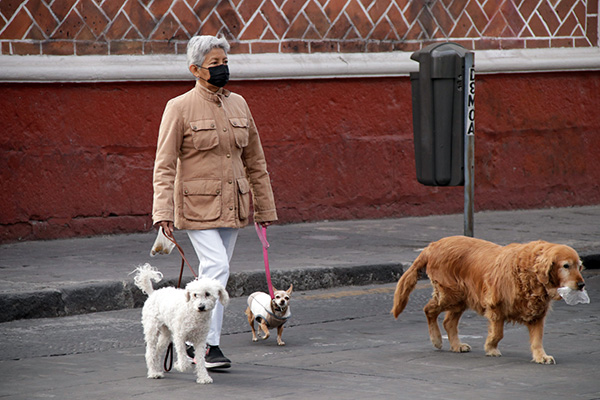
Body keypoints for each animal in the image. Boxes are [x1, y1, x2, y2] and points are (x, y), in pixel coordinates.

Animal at [390, 236, 584, 364]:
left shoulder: (537, 314)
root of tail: (433, 245)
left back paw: (456, 345)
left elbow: (537, 339)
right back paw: (437, 340)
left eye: (579, 266)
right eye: (566, 266)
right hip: (450, 294)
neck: (529, 273)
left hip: (460, 298)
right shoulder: (496, 307)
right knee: (428, 310)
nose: (582, 284)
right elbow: (498, 333)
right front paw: (491, 348)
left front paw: (541, 356)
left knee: (448, 322)